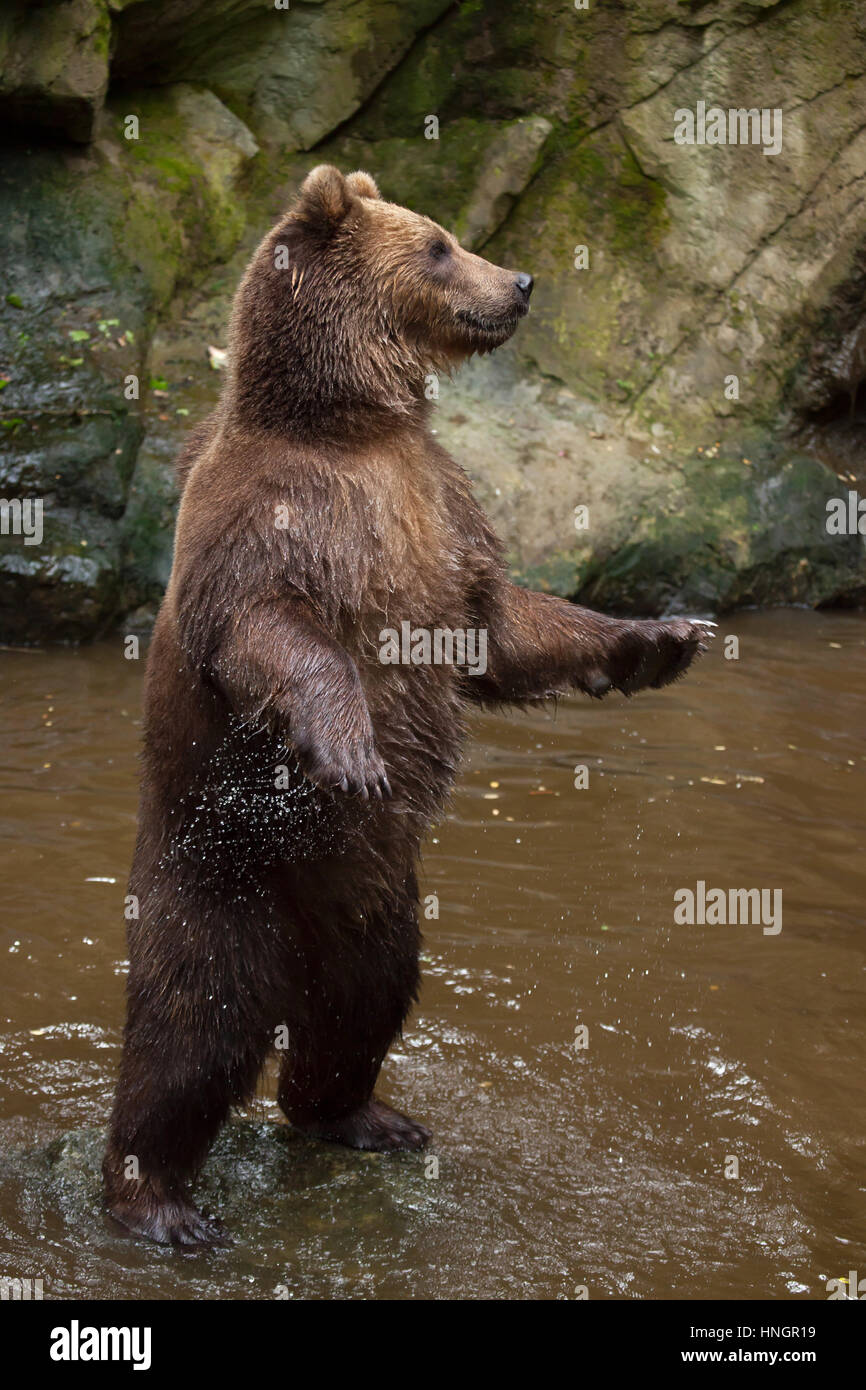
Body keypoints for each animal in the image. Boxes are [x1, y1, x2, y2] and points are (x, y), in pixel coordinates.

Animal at [103, 166, 713, 1246]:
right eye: (437, 244)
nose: (520, 280)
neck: (353, 424)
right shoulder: (271, 528)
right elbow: (272, 633)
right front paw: (348, 745)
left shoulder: (440, 513)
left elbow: (499, 626)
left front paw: (661, 638)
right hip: (216, 874)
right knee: (190, 1032)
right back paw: (159, 1200)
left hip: (373, 905)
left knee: (362, 1007)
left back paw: (362, 1116)